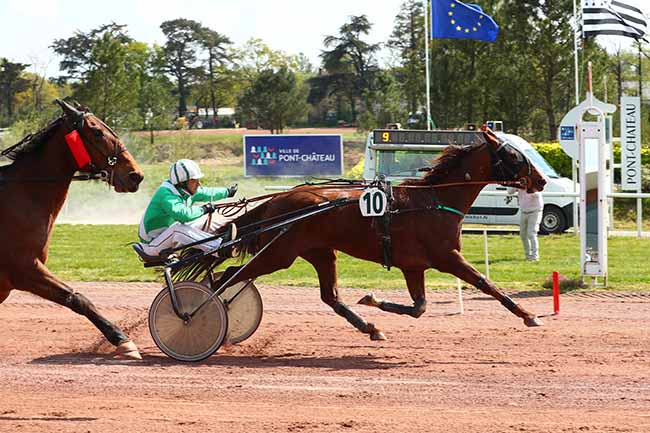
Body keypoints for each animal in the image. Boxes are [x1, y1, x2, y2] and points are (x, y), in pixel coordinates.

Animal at [0, 100, 145, 359]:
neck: (21, 194)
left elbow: (73, 296)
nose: (135, 175)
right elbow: (76, 298)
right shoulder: (24, 268)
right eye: (97, 132)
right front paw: (123, 341)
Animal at [175, 127, 547, 341]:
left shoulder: (414, 266)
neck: (434, 200)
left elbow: (419, 308)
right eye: (514, 155)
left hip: (320, 253)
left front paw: (372, 300)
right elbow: (487, 284)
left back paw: (370, 328)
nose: (542, 181)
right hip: (279, 254)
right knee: (226, 274)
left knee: (329, 296)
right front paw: (529, 316)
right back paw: (196, 312)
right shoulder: (446, 258)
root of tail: (278, 199)